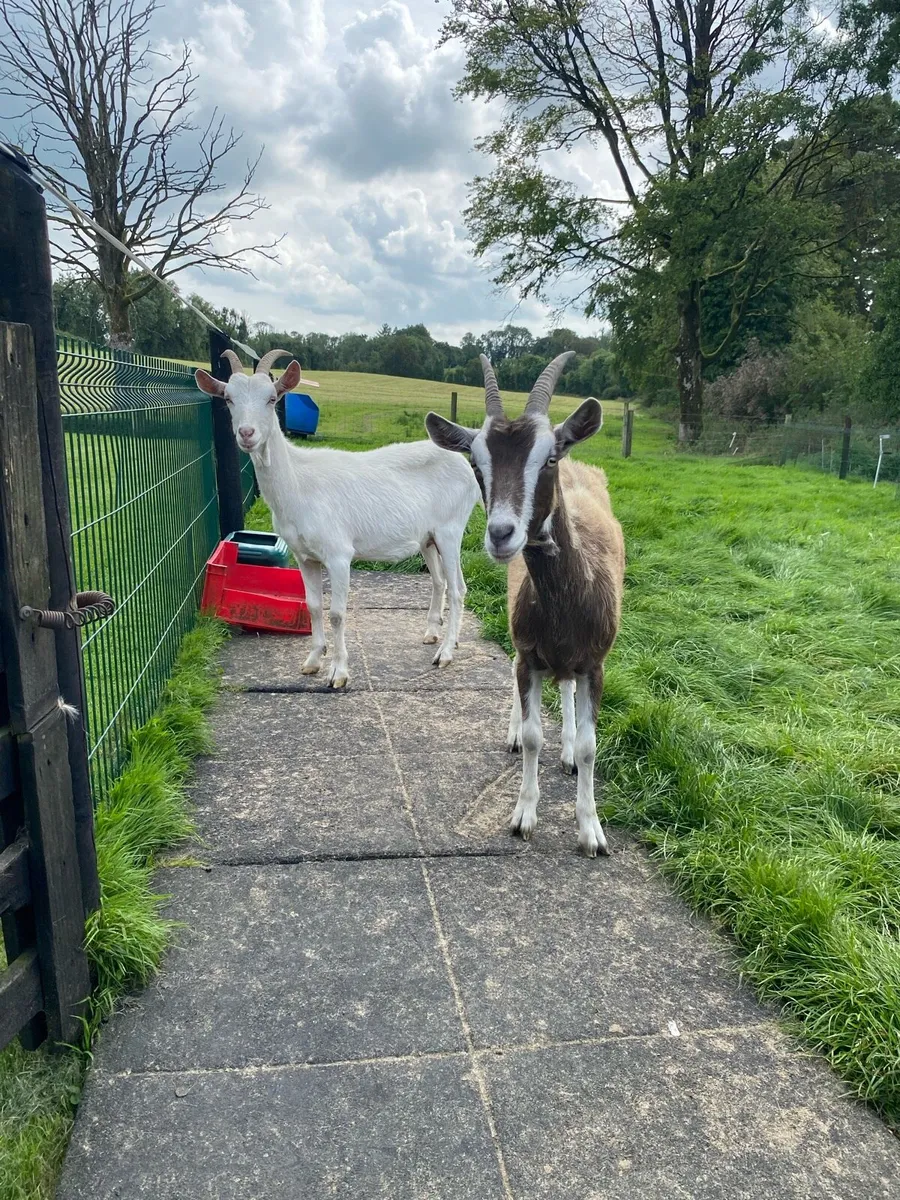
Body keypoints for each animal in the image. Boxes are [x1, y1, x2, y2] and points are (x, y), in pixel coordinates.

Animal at [196, 350, 480, 688]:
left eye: (272, 398)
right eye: (228, 399)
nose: (247, 434)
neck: (298, 484)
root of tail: (465, 466)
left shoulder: (339, 554)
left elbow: (337, 613)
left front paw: (339, 673)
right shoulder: (305, 556)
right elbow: (315, 607)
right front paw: (312, 661)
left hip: (451, 530)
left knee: (459, 587)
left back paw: (445, 653)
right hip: (428, 537)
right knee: (440, 581)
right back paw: (434, 634)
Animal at [425, 353, 624, 856]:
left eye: (549, 457)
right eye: (477, 464)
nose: (501, 534)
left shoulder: (595, 663)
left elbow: (592, 744)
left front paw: (591, 830)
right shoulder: (530, 655)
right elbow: (535, 736)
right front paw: (524, 816)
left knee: (567, 690)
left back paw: (568, 750)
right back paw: (517, 731)